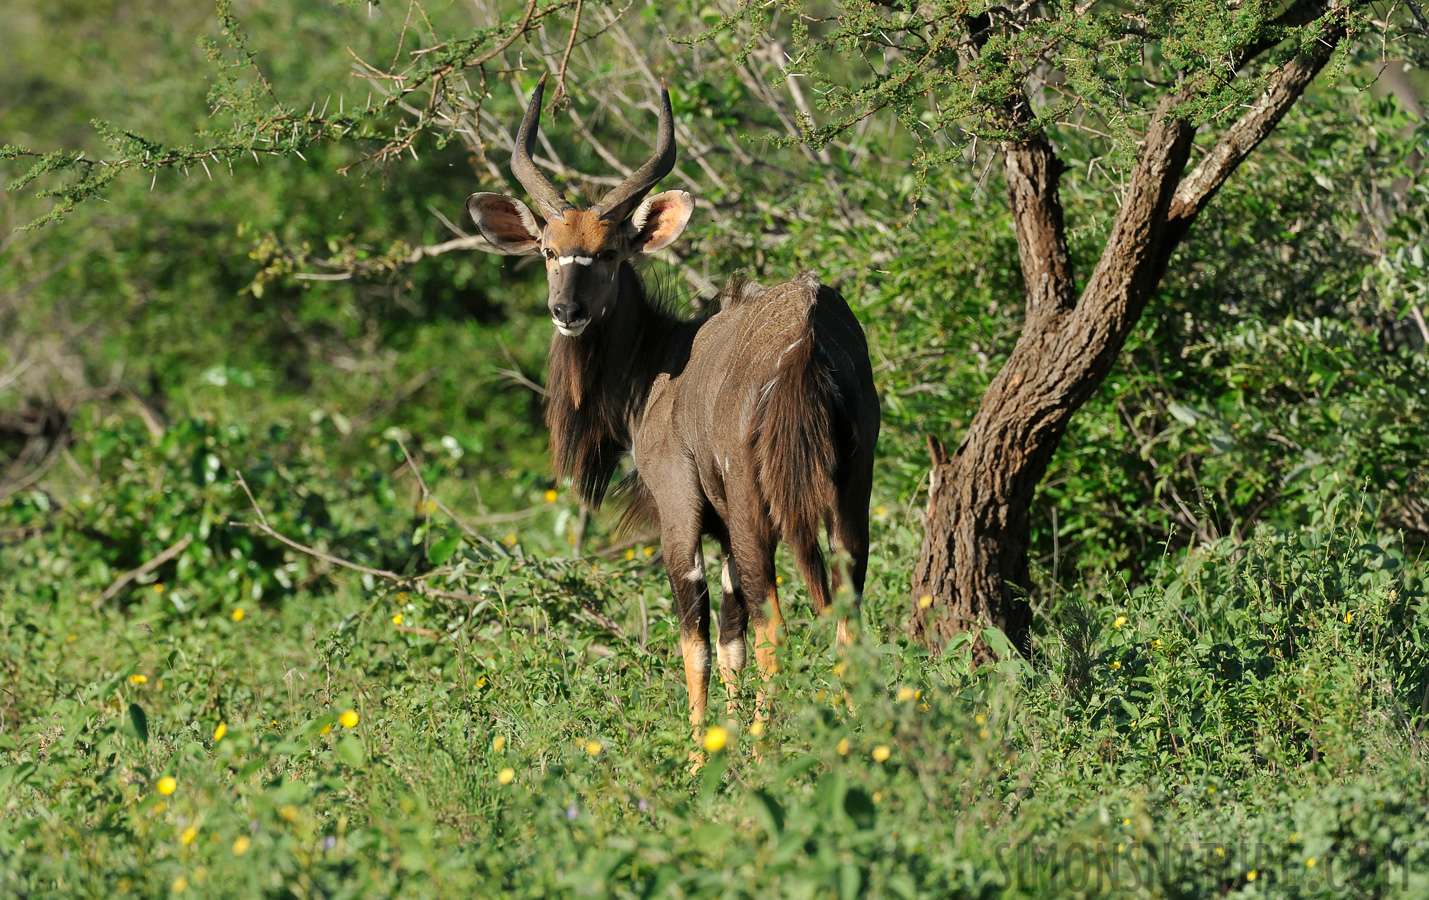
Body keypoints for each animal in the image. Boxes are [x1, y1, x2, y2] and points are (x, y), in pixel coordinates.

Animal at [462, 77, 874, 731]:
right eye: (549, 251)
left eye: (609, 252)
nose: (566, 311)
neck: (659, 364)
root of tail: (808, 334)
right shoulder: (723, 527)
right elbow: (729, 639)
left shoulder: (682, 508)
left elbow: (696, 639)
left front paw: (702, 749)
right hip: (849, 498)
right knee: (844, 620)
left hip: (759, 512)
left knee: (776, 627)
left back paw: (770, 743)